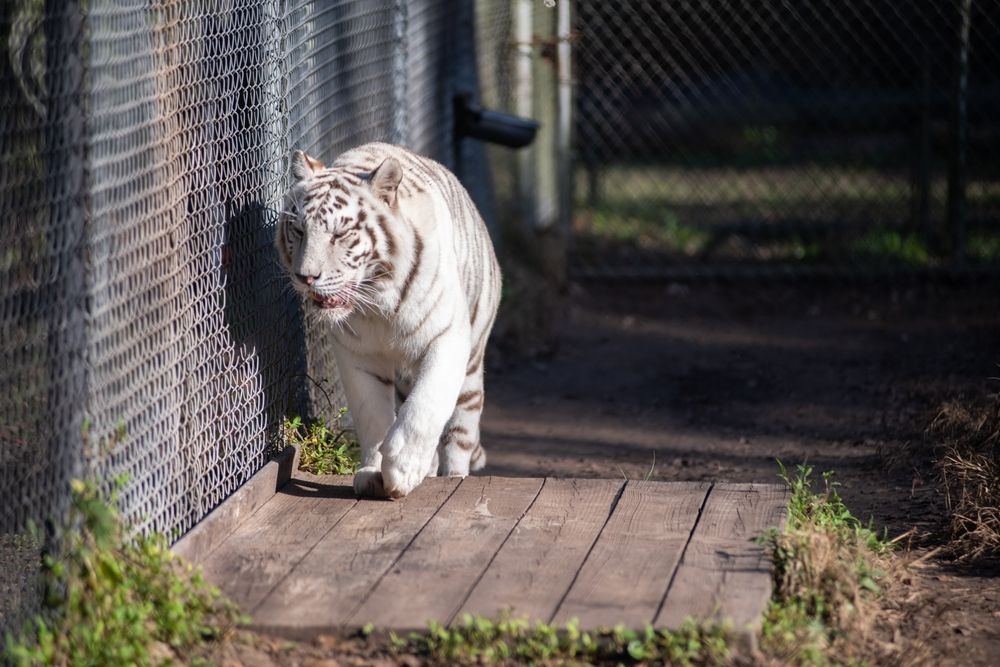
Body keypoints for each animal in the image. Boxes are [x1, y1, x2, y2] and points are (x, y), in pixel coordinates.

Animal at [275, 142, 502, 499]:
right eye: (298, 230)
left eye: (340, 234)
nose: (306, 277)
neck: (376, 303)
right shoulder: (358, 355)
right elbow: (372, 415)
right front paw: (373, 472)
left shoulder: (446, 338)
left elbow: (425, 406)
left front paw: (402, 467)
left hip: (471, 366)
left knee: (460, 432)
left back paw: (452, 475)